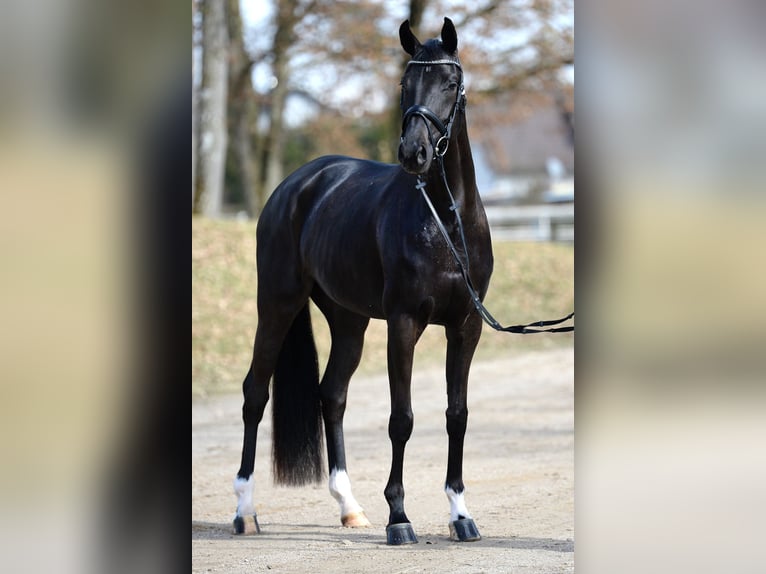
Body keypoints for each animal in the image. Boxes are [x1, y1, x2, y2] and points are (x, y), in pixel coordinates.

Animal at [232, 18, 492, 548]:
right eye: (405, 84)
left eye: (449, 83)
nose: (413, 153)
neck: (445, 222)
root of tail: (296, 186)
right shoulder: (404, 324)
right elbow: (402, 419)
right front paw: (399, 517)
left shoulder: (466, 327)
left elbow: (457, 416)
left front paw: (460, 514)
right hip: (277, 306)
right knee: (255, 393)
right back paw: (245, 510)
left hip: (348, 321)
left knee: (331, 394)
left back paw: (349, 507)